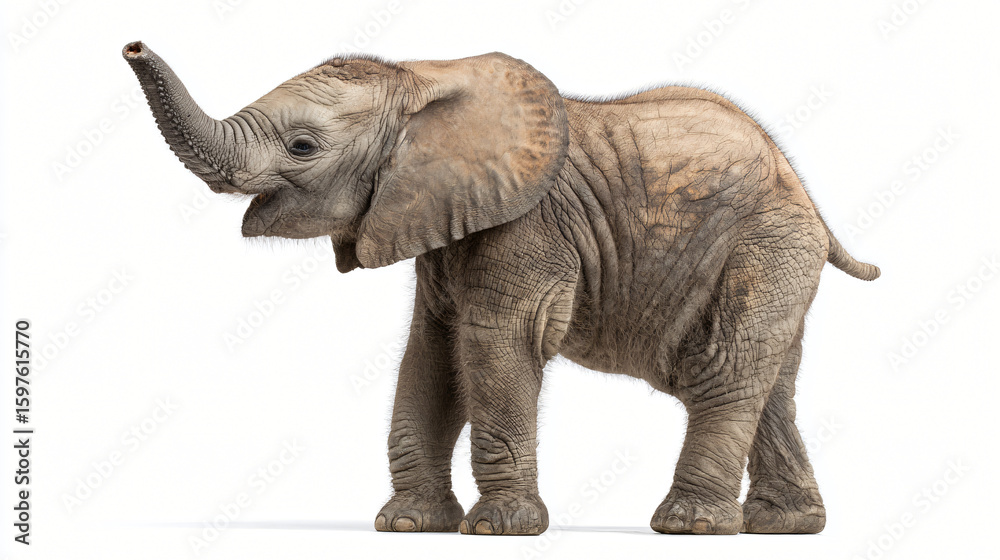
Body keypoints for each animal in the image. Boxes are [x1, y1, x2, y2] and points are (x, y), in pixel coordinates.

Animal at [123, 41, 879, 536]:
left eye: (303, 147)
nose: (131, 43)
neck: (424, 81)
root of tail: (805, 193)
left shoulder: (528, 227)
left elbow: (495, 345)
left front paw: (499, 531)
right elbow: (430, 355)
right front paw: (408, 526)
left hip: (765, 242)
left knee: (723, 369)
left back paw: (688, 527)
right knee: (768, 381)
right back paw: (784, 527)